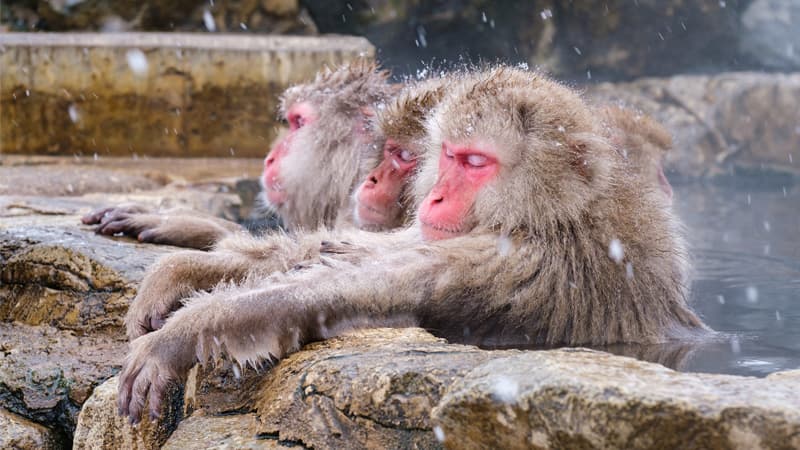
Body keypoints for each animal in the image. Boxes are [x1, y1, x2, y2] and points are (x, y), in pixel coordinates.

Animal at [119, 67, 708, 422]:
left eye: (476, 162)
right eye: (447, 155)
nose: (436, 196)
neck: (558, 216)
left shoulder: (516, 262)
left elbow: (347, 294)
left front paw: (181, 334)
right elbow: (340, 251)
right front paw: (183, 265)